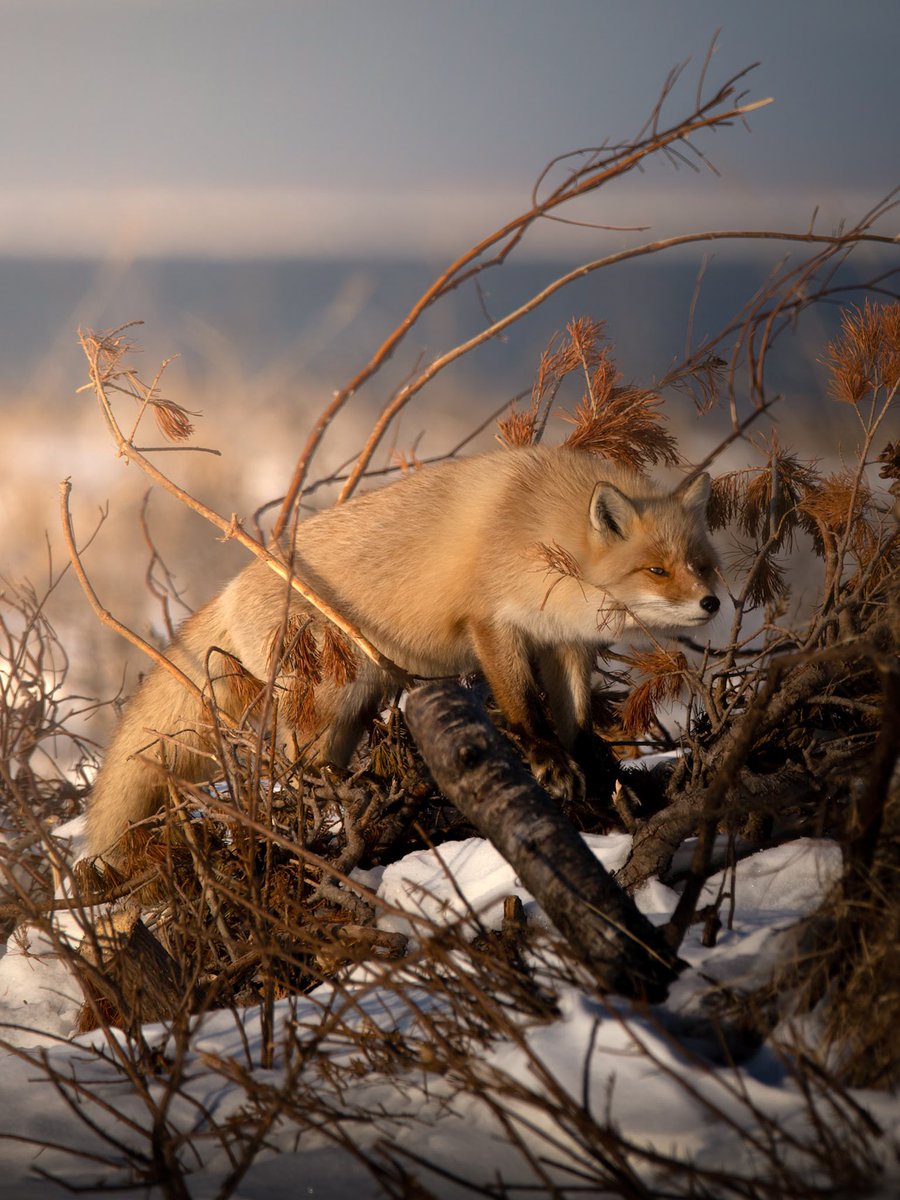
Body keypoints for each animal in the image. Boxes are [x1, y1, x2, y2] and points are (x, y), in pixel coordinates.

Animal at [88, 446, 724, 859]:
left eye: (700, 565)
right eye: (657, 571)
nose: (712, 603)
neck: (538, 523)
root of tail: (229, 587)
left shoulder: (565, 640)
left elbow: (576, 716)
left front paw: (596, 767)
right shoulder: (493, 623)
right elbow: (525, 708)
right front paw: (550, 762)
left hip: (352, 706)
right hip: (323, 700)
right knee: (292, 773)